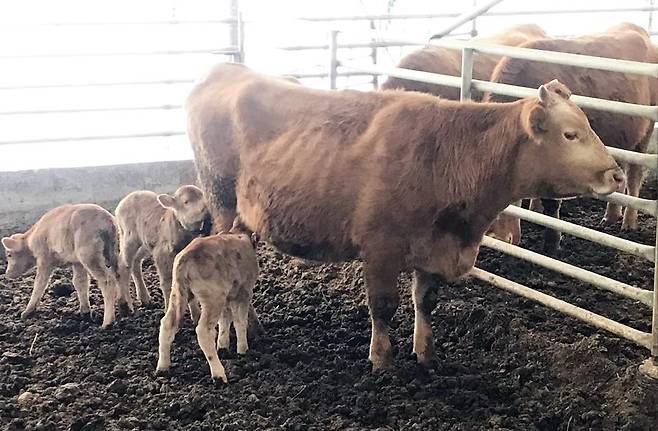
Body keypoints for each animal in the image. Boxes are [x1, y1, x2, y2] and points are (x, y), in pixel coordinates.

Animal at [114, 184, 209, 312]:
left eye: (202, 195)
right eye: (186, 202)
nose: (205, 208)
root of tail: (126, 198)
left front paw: (196, 314)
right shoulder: (161, 254)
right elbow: (166, 283)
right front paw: (168, 308)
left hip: (146, 243)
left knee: (136, 262)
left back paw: (145, 299)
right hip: (128, 236)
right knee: (124, 265)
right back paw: (125, 304)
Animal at [156, 231, 258, 384]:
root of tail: (185, 257)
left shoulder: (228, 295)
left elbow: (225, 319)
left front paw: (223, 346)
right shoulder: (243, 291)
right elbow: (239, 321)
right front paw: (242, 350)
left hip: (179, 292)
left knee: (167, 323)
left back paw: (162, 368)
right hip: (213, 296)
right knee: (204, 331)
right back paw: (219, 375)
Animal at [187, 64, 624, 372]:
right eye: (570, 134)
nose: (616, 174)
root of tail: (226, 70)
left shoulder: (433, 251)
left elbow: (425, 302)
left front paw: (426, 354)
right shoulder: (379, 249)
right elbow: (383, 306)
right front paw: (382, 359)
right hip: (222, 203)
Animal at [484, 22, 652, 253]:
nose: (497, 237)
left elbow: (552, 203)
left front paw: (552, 241)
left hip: (644, 137)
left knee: (634, 178)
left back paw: (629, 222)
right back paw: (610, 217)